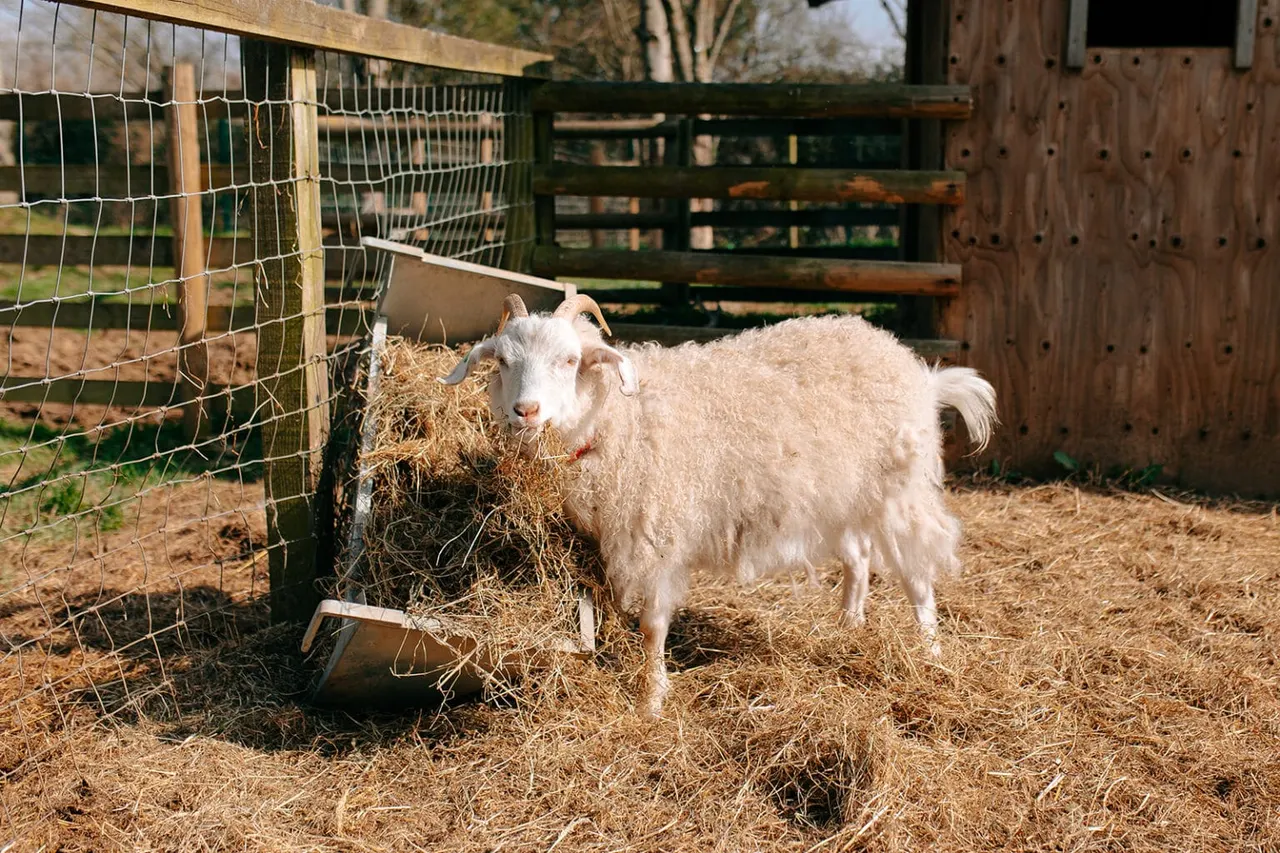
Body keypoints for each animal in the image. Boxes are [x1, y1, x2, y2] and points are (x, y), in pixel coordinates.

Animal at [441, 294, 997, 717]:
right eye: (503, 362)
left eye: (570, 360)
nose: (525, 411)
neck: (621, 418)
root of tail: (917, 370)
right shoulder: (618, 535)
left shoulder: (659, 534)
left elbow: (653, 623)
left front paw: (651, 701)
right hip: (840, 492)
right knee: (859, 560)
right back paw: (848, 627)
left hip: (898, 489)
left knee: (917, 574)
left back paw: (930, 652)